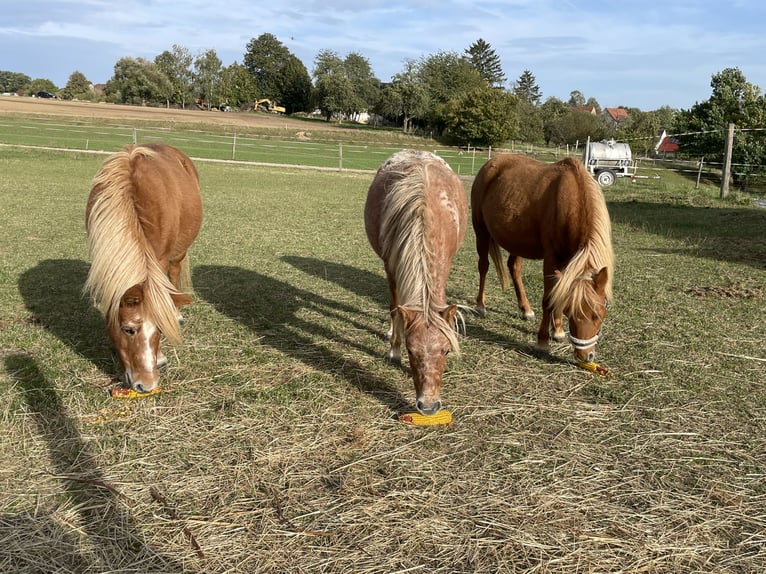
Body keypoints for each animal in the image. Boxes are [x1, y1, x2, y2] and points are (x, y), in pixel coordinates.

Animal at [364, 151, 468, 416]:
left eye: (446, 350)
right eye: (411, 351)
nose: (429, 407)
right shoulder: (391, 266)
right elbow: (395, 308)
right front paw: (394, 349)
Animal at [472, 155, 616, 362]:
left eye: (599, 314)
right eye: (571, 313)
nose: (585, 356)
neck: (572, 201)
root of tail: (491, 163)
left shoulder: (567, 261)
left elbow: (560, 292)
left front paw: (558, 331)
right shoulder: (551, 258)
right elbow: (549, 299)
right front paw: (543, 341)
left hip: (517, 240)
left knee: (514, 267)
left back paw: (526, 310)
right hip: (481, 230)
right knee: (483, 266)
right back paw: (480, 305)